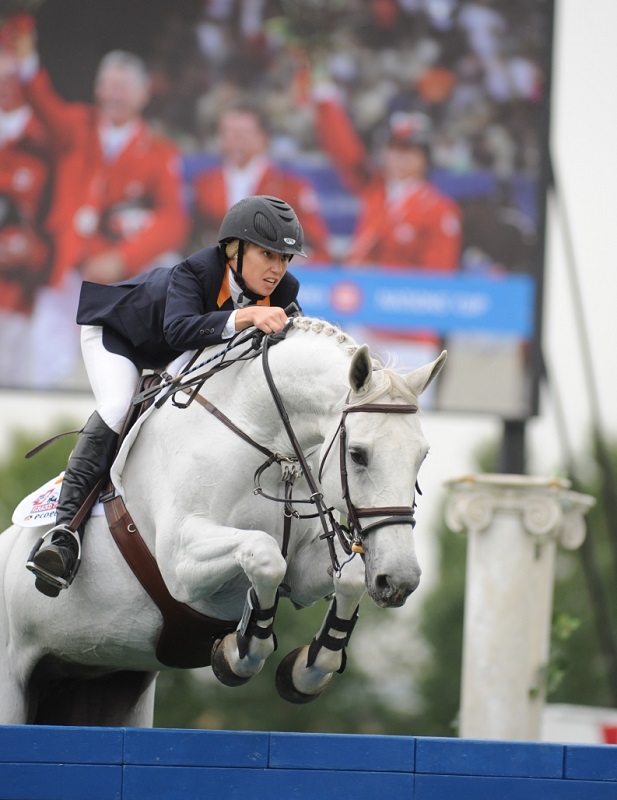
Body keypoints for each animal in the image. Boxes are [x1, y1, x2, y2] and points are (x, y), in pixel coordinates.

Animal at [0, 315, 446, 726]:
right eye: (357, 454)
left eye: (423, 455)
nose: (399, 580)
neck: (265, 437)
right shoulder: (180, 562)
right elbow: (264, 554)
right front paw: (240, 652)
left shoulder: (302, 573)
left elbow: (347, 575)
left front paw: (308, 670)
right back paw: (56, 553)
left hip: (109, 681)